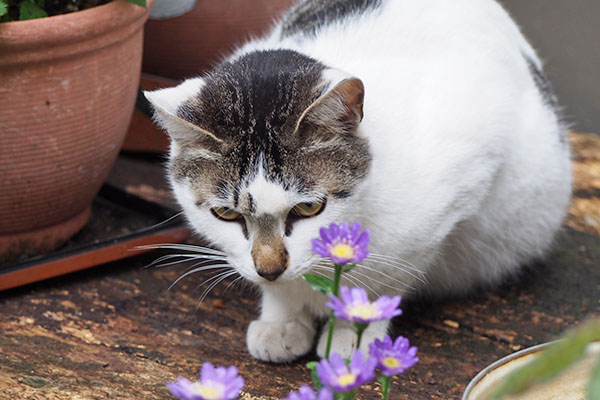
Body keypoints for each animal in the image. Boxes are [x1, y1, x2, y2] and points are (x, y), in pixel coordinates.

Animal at [145, 0, 572, 362]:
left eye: (309, 208)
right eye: (226, 215)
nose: (270, 268)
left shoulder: (456, 188)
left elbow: (382, 279)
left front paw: (355, 332)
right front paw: (281, 320)